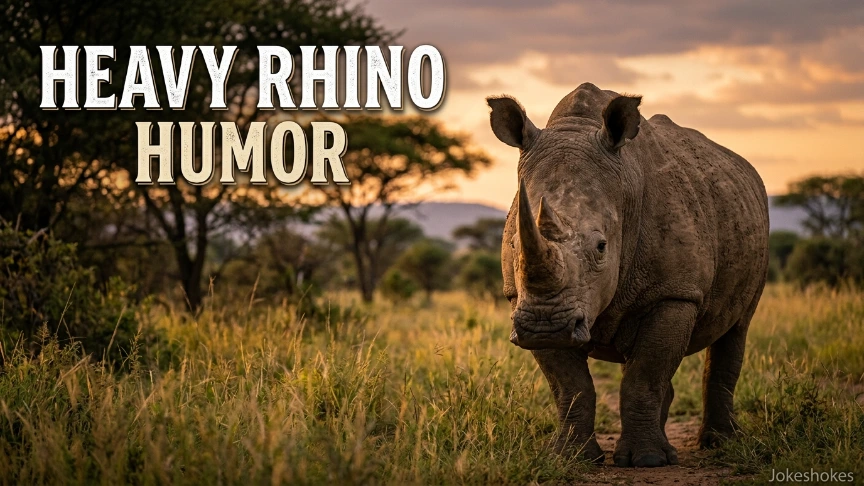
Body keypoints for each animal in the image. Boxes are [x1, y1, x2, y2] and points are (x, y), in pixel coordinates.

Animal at [488, 83, 769, 467]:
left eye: (601, 247)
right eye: (515, 244)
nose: (547, 326)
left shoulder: (674, 292)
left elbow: (645, 374)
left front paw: (647, 460)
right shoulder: (523, 300)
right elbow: (570, 385)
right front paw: (572, 458)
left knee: (737, 328)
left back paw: (719, 443)